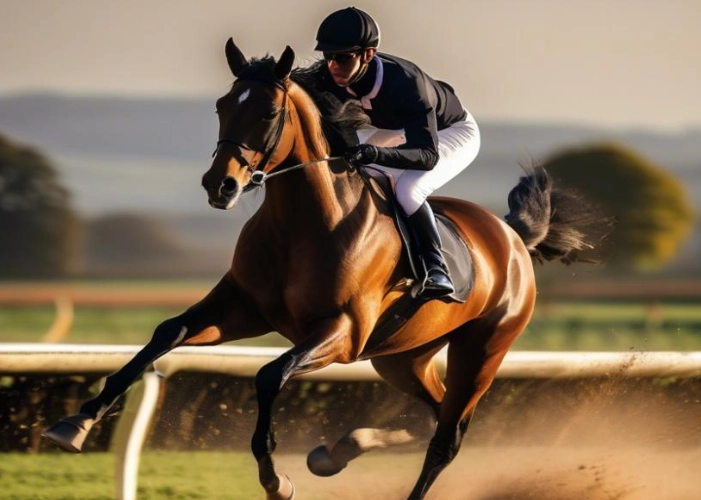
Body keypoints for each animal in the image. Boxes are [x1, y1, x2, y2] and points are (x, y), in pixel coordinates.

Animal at [43, 39, 604, 500]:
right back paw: (338, 451)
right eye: (222, 106)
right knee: (435, 409)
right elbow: (166, 333)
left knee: (449, 437)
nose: (220, 185)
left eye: (268, 112)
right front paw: (76, 422)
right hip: (403, 355)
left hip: (483, 349)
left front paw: (277, 480)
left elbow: (269, 375)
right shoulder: (242, 307)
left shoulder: (343, 333)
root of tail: (511, 238)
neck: (304, 223)